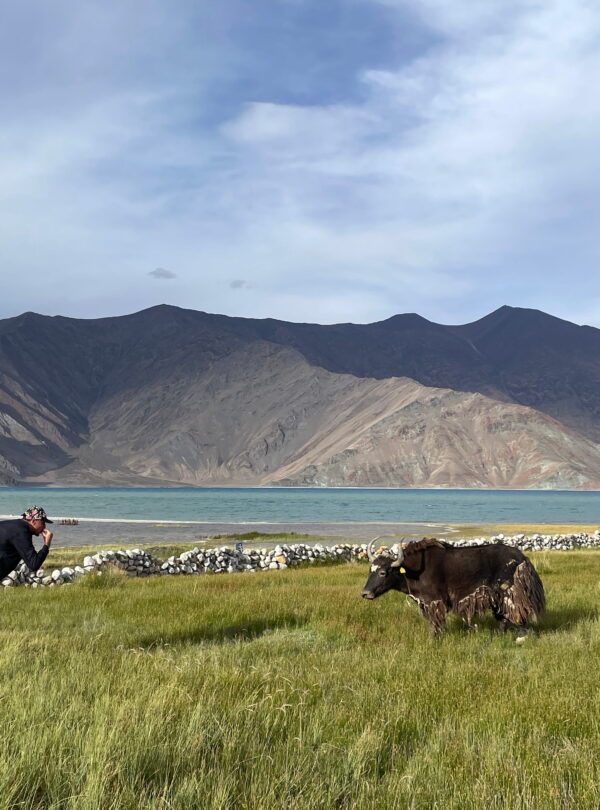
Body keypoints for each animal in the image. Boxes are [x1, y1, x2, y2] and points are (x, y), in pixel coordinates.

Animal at [361, 537, 545, 642]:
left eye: (383, 572)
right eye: (370, 570)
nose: (365, 593)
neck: (411, 570)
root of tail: (523, 558)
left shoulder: (433, 600)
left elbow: (435, 622)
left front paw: (434, 639)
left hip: (509, 591)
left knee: (517, 612)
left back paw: (520, 637)